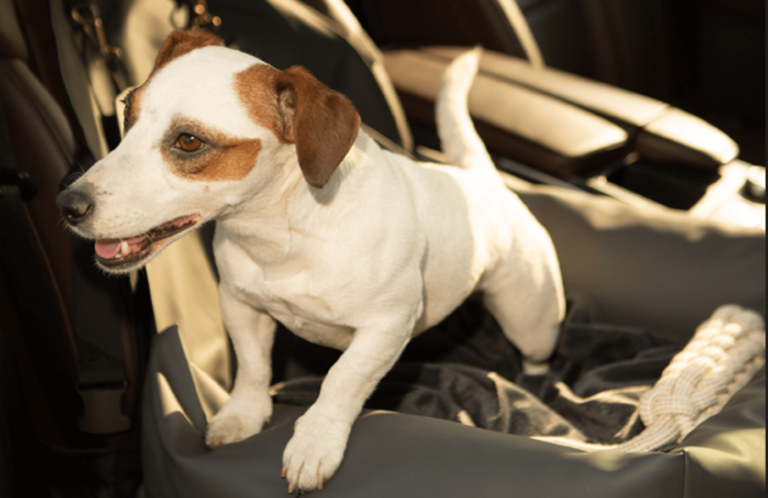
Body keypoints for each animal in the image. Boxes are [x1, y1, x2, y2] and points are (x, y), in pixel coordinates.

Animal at [57, 29, 568, 492]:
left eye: (188, 141)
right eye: (127, 111)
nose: (67, 204)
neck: (283, 234)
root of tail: (481, 179)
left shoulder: (386, 328)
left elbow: (341, 381)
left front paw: (315, 442)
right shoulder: (240, 305)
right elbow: (253, 366)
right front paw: (244, 415)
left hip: (530, 319)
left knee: (537, 355)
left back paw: (538, 386)